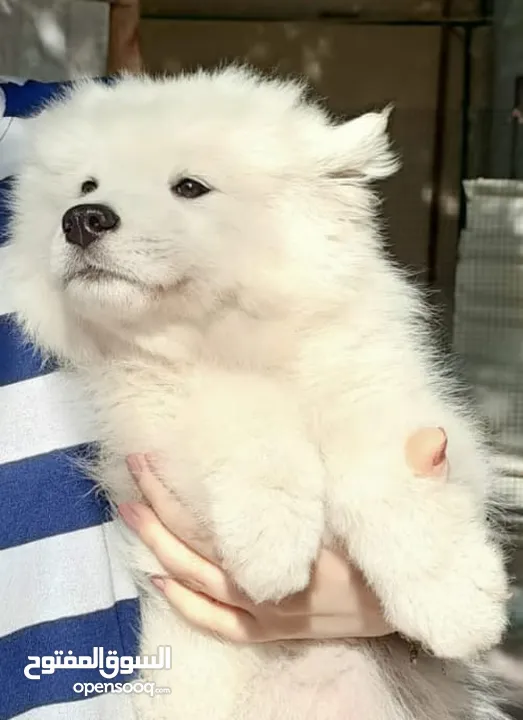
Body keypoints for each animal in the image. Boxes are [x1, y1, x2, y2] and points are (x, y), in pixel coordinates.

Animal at [4, 69, 512, 720]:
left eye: (189, 186)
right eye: (86, 185)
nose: (82, 218)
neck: (234, 343)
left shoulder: (403, 404)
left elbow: (394, 482)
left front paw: (456, 608)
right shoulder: (148, 424)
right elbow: (245, 421)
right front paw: (272, 545)